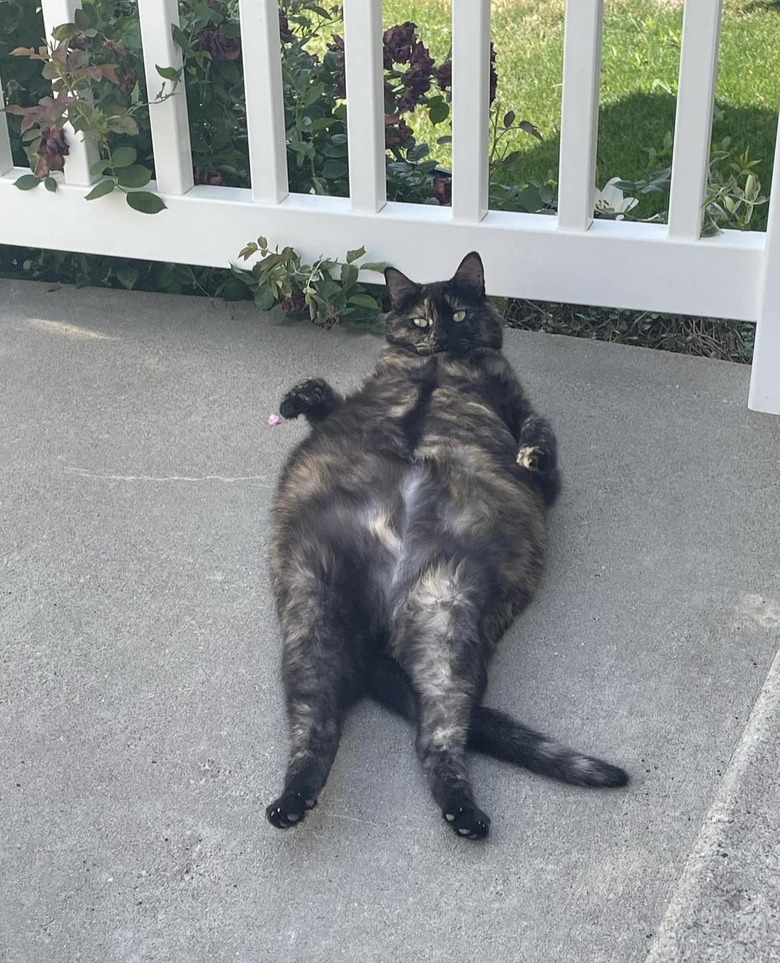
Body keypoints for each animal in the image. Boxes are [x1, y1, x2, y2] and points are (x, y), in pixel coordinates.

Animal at [268, 252, 628, 840]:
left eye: (457, 314)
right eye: (419, 320)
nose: (437, 337)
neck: (437, 367)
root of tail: (380, 617)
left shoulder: (519, 413)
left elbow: (539, 430)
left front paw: (532, 454)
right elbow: (327, 398)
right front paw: (298, 397)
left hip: (445, 621)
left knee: (436, 735)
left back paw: (463, 811)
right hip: (311, 617)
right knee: (315, 725)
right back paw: (293, 798)